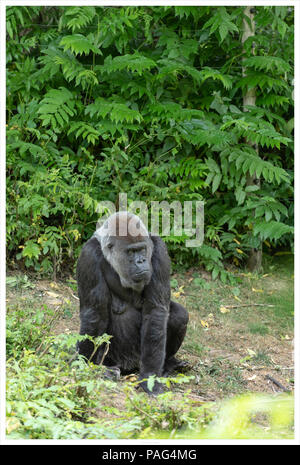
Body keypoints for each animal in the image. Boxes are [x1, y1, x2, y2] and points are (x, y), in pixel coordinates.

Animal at [76, 212, 189, 394]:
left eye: (142, 249)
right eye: (131, 252)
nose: (141, 261)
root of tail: (131, 366)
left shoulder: (159, 249)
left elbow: (156, 311)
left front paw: (150, 377)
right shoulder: (88, 256)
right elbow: (95, 315)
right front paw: (85, 365)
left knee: (179, 315)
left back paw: (169, 364)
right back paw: (106, 370)